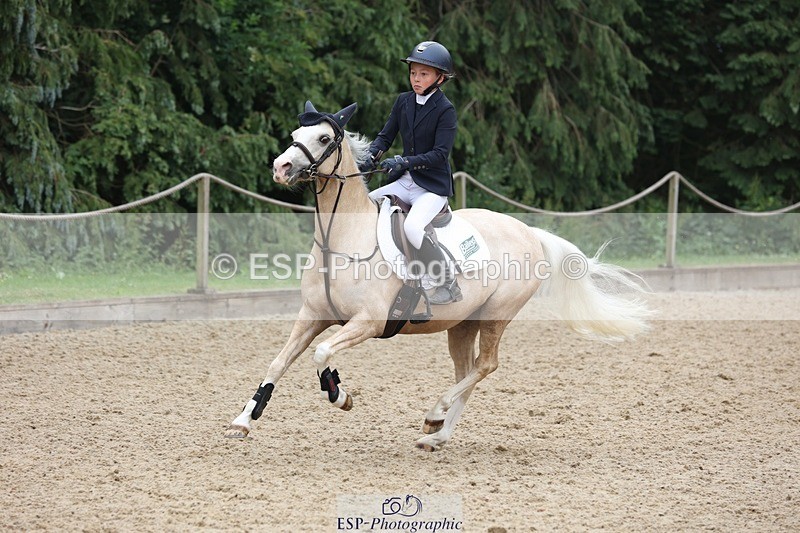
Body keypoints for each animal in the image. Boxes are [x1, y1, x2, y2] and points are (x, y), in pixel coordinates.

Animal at [224, 101, 652, 451]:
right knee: (468, 369)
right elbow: (279, 362)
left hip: (496, 315)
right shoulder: (312, 316)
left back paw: (435, 414)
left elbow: (322, 352)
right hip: (462, 323)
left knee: (486, 366)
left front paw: (339, 395)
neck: (340, 239)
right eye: (294, 137)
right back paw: (438, 433)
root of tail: (529, 232)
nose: (281, 168)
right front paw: (243, 420)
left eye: (324, 138)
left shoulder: (368, 322)